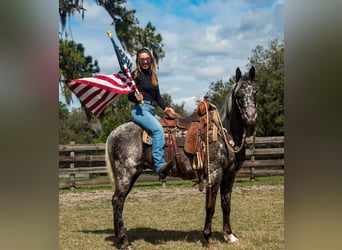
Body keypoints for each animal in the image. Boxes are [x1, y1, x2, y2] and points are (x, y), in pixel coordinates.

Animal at [105, 66, 258, 248]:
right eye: (238, 94)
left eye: (255, 91)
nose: (251, 117)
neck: (224, 131)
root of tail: (114, 133)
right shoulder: (214, 173)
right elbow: (210, 205)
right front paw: (209, 237)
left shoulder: (230, 175)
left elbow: (226, 205)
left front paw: (229, 235)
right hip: (125, 174)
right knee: (117, 201)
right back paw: (124, 241)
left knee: (118, 202)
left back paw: (121, 239)